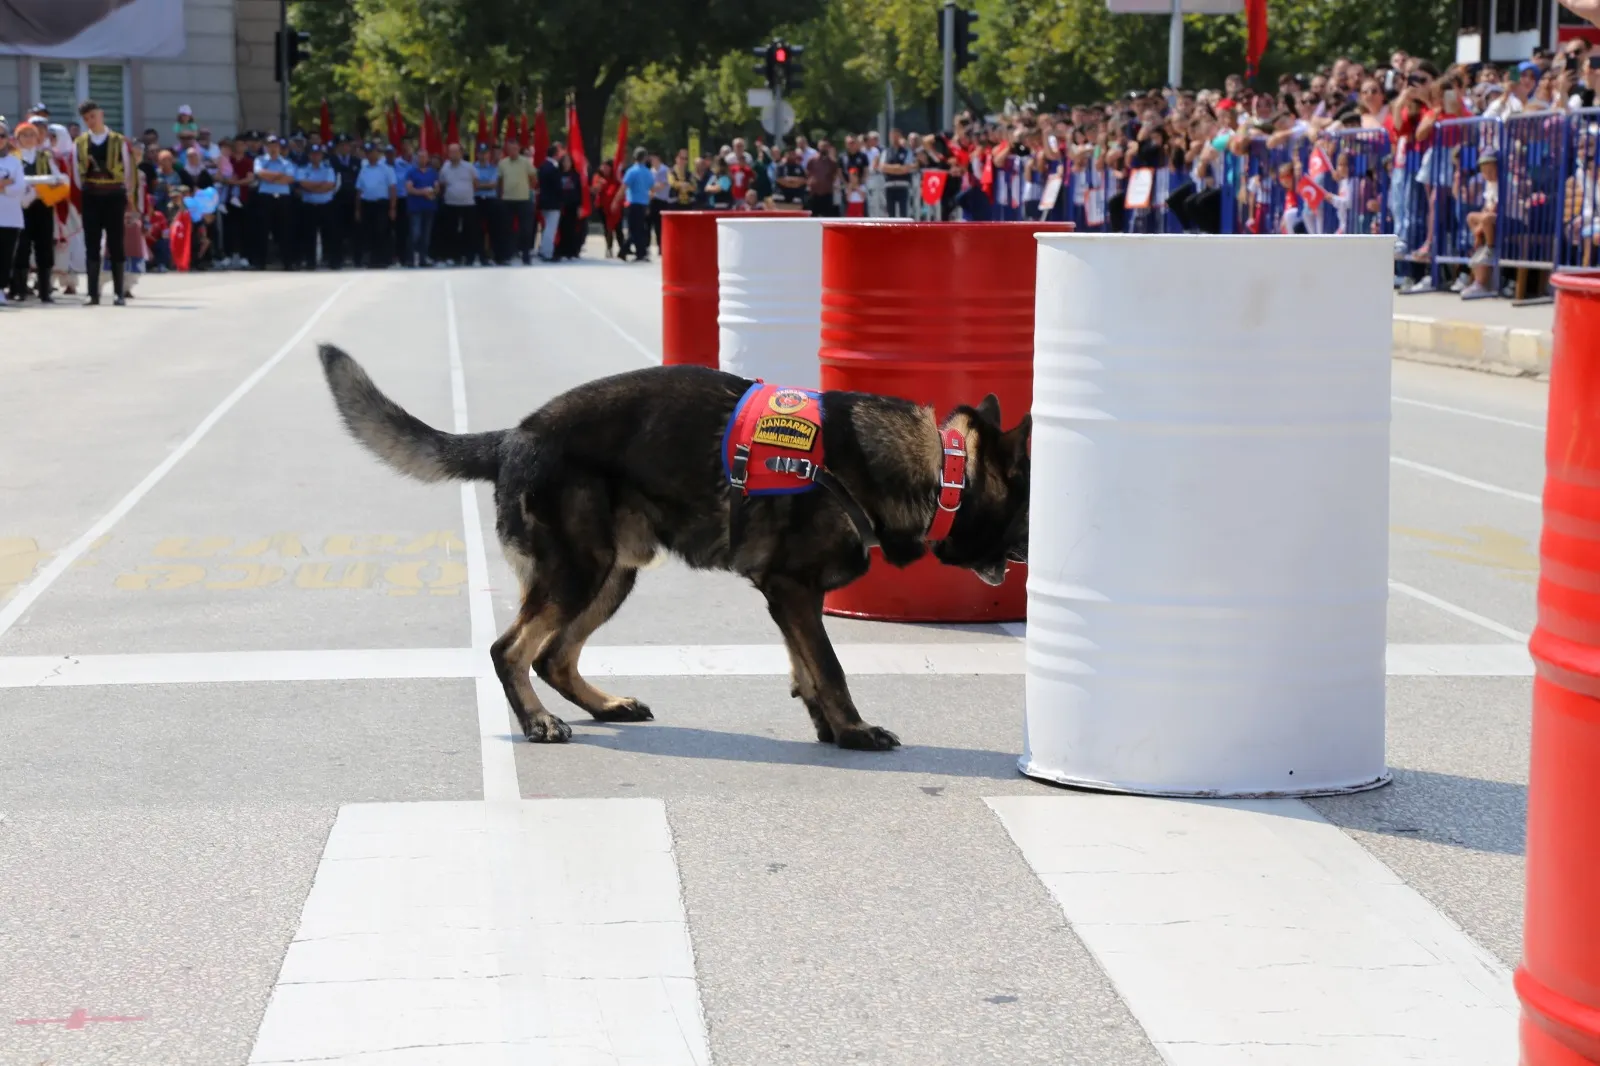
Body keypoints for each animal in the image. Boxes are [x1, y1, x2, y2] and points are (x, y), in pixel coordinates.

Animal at [318, 348, 1030, 745]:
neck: (939, 469)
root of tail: (513, 436)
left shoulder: (788, 600)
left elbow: (804, 669)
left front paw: (829, 730)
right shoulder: (792, 590)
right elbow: (829, 667)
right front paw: (854, 732)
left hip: (613, 574)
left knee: (553, 655)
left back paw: (604, 705)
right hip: (579, 571)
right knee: (510, 650)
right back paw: (538, 723)